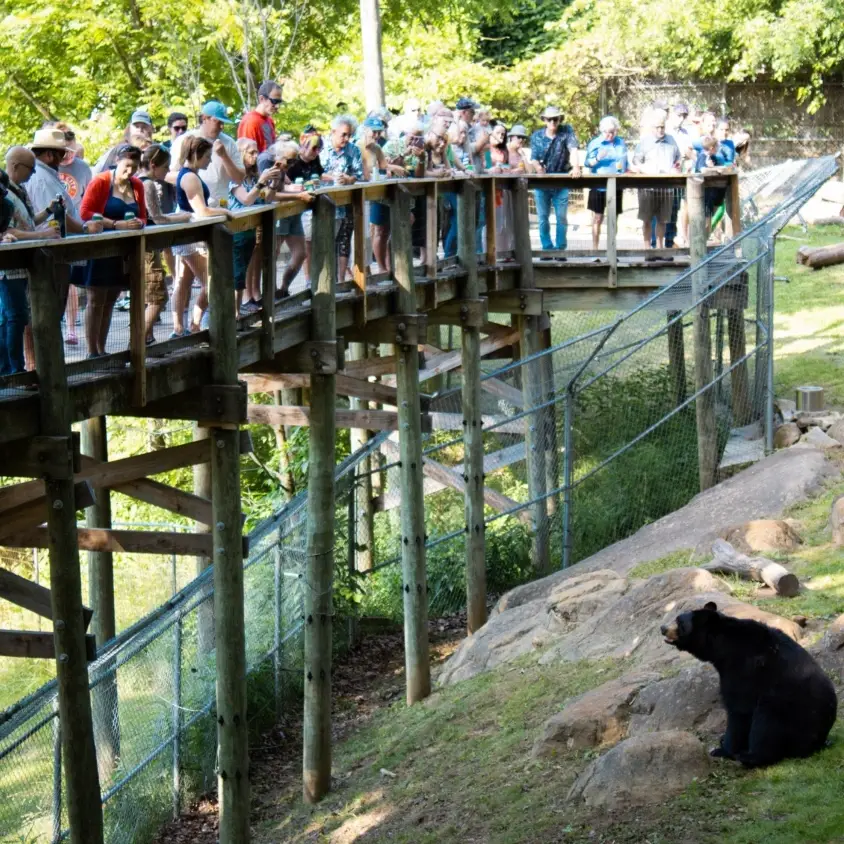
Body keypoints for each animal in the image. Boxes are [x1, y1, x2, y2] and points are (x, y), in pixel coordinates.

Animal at [660, 601, 837, 768]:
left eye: (679, 621)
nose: (662, 628)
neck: (722, 645)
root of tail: (818, 741)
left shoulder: (742, 669)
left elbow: (738, 709)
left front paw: (722, 749)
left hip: (785, 709)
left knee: (766, 724)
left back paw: (749, 757)